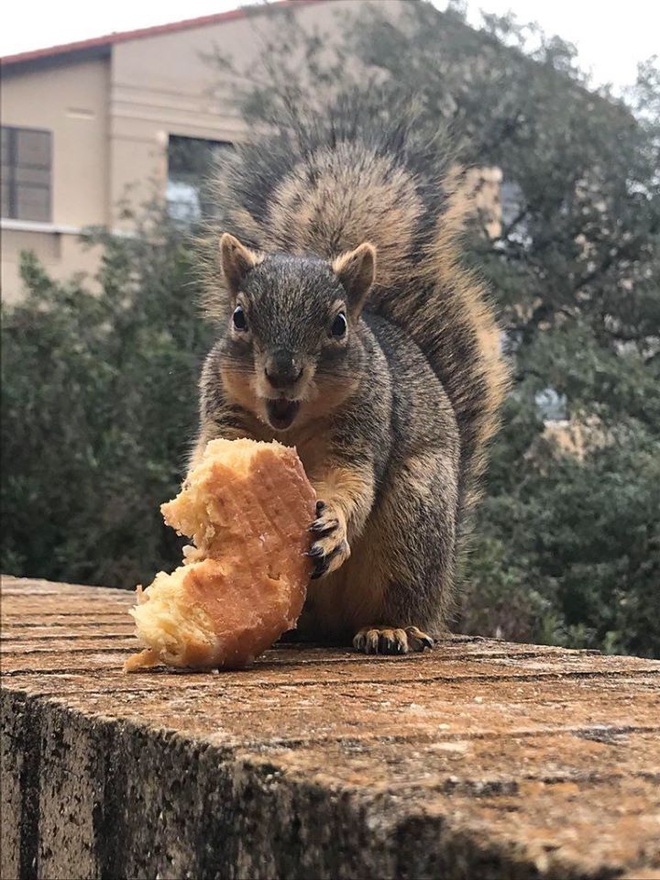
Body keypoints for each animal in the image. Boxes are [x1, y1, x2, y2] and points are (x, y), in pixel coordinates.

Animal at [191, 101, 510, 652]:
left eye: (338, 324)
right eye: (239, 317)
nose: (282, 372)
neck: (291, 426)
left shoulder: (363, 428)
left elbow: (351, 482)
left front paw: (334, 524)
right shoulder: (223, 411)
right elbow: (210, 450)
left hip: (415, 515)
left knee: (399, 596)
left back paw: (389, 628)